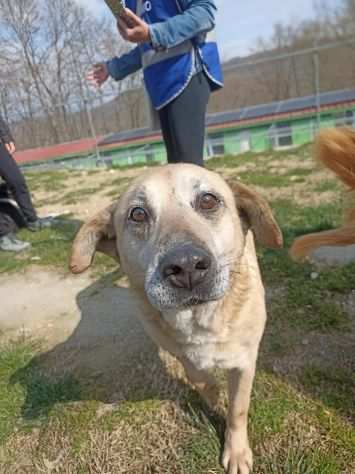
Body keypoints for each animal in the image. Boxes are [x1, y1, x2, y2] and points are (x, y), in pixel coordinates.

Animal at [70, 164, 284, 474]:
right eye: (138, 213)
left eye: (208, 200)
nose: (186, 266)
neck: (198, 317)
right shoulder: (182, 354)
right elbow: (199, 378)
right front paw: (213, 395)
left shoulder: (244, 362)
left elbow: (238, 410)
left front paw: (236, 450)